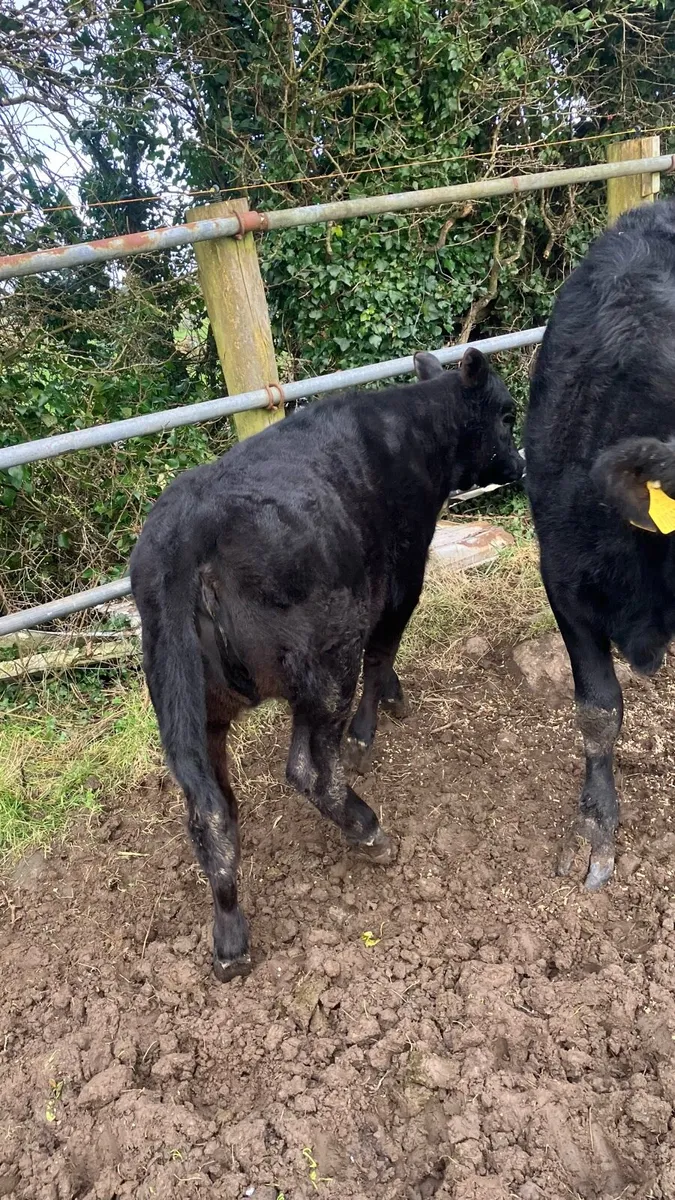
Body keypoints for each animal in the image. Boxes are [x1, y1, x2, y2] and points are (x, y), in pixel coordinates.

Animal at [130, 347, 523, 980]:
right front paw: (371, 728)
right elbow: (384, 652)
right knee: (308, 767)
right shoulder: (401, 579)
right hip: (327, 660)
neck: (415, 432)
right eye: (507, 415)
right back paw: (369, 831)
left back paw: (230, 938)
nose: (519, 464)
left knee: (209, 808)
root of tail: (187, 533)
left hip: (186, 705)